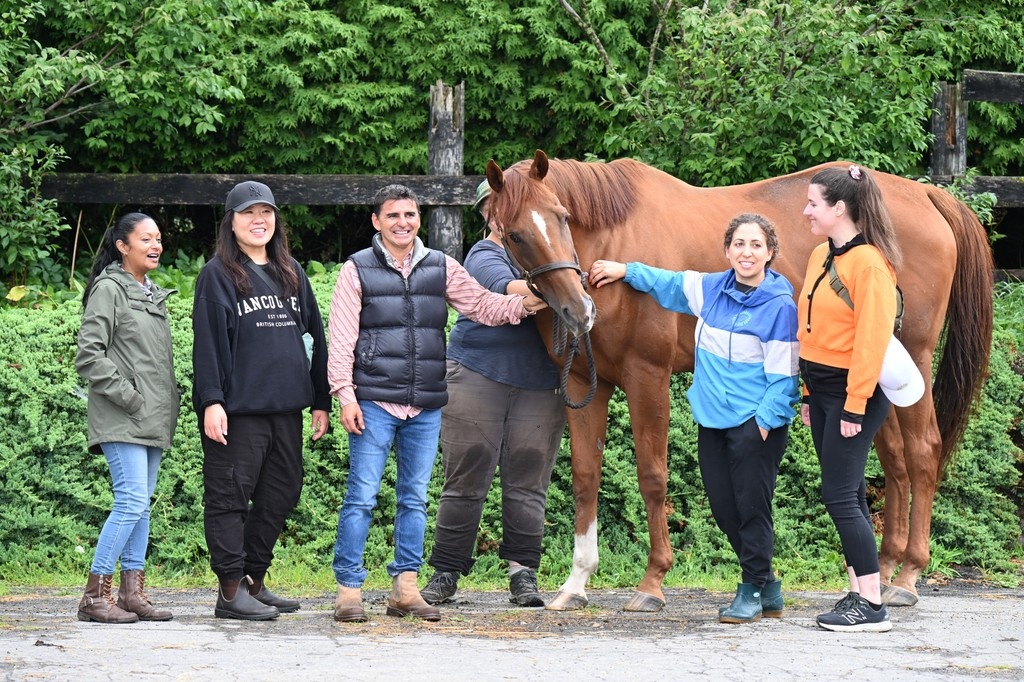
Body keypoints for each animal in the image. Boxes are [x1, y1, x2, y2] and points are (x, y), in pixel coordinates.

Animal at [484, 150, 993, 612]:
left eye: (563, 217)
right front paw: (576, 582)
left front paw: (652, 582)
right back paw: (883, 570)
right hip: (870, 379)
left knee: (923, 452)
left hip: (915, 362)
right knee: (894, 462)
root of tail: (927, 195)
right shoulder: (584, 384)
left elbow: (652, 476)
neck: (615, 237)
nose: (579, 310)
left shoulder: (646, 375)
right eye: (516, 234)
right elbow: (585, 477)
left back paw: (908, 577)